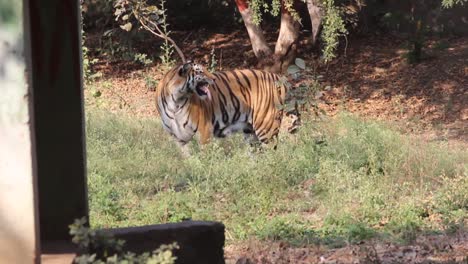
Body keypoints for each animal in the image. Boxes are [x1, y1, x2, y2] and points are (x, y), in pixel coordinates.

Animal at [155, 60, 298, 154]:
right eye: (200, 72)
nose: (213, 79)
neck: (176, 101)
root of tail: (278, 77)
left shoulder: (204, 131)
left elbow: (204, 157)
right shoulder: (179, 138)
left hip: (267, 126)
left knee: (273, 153)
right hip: (250, 131)